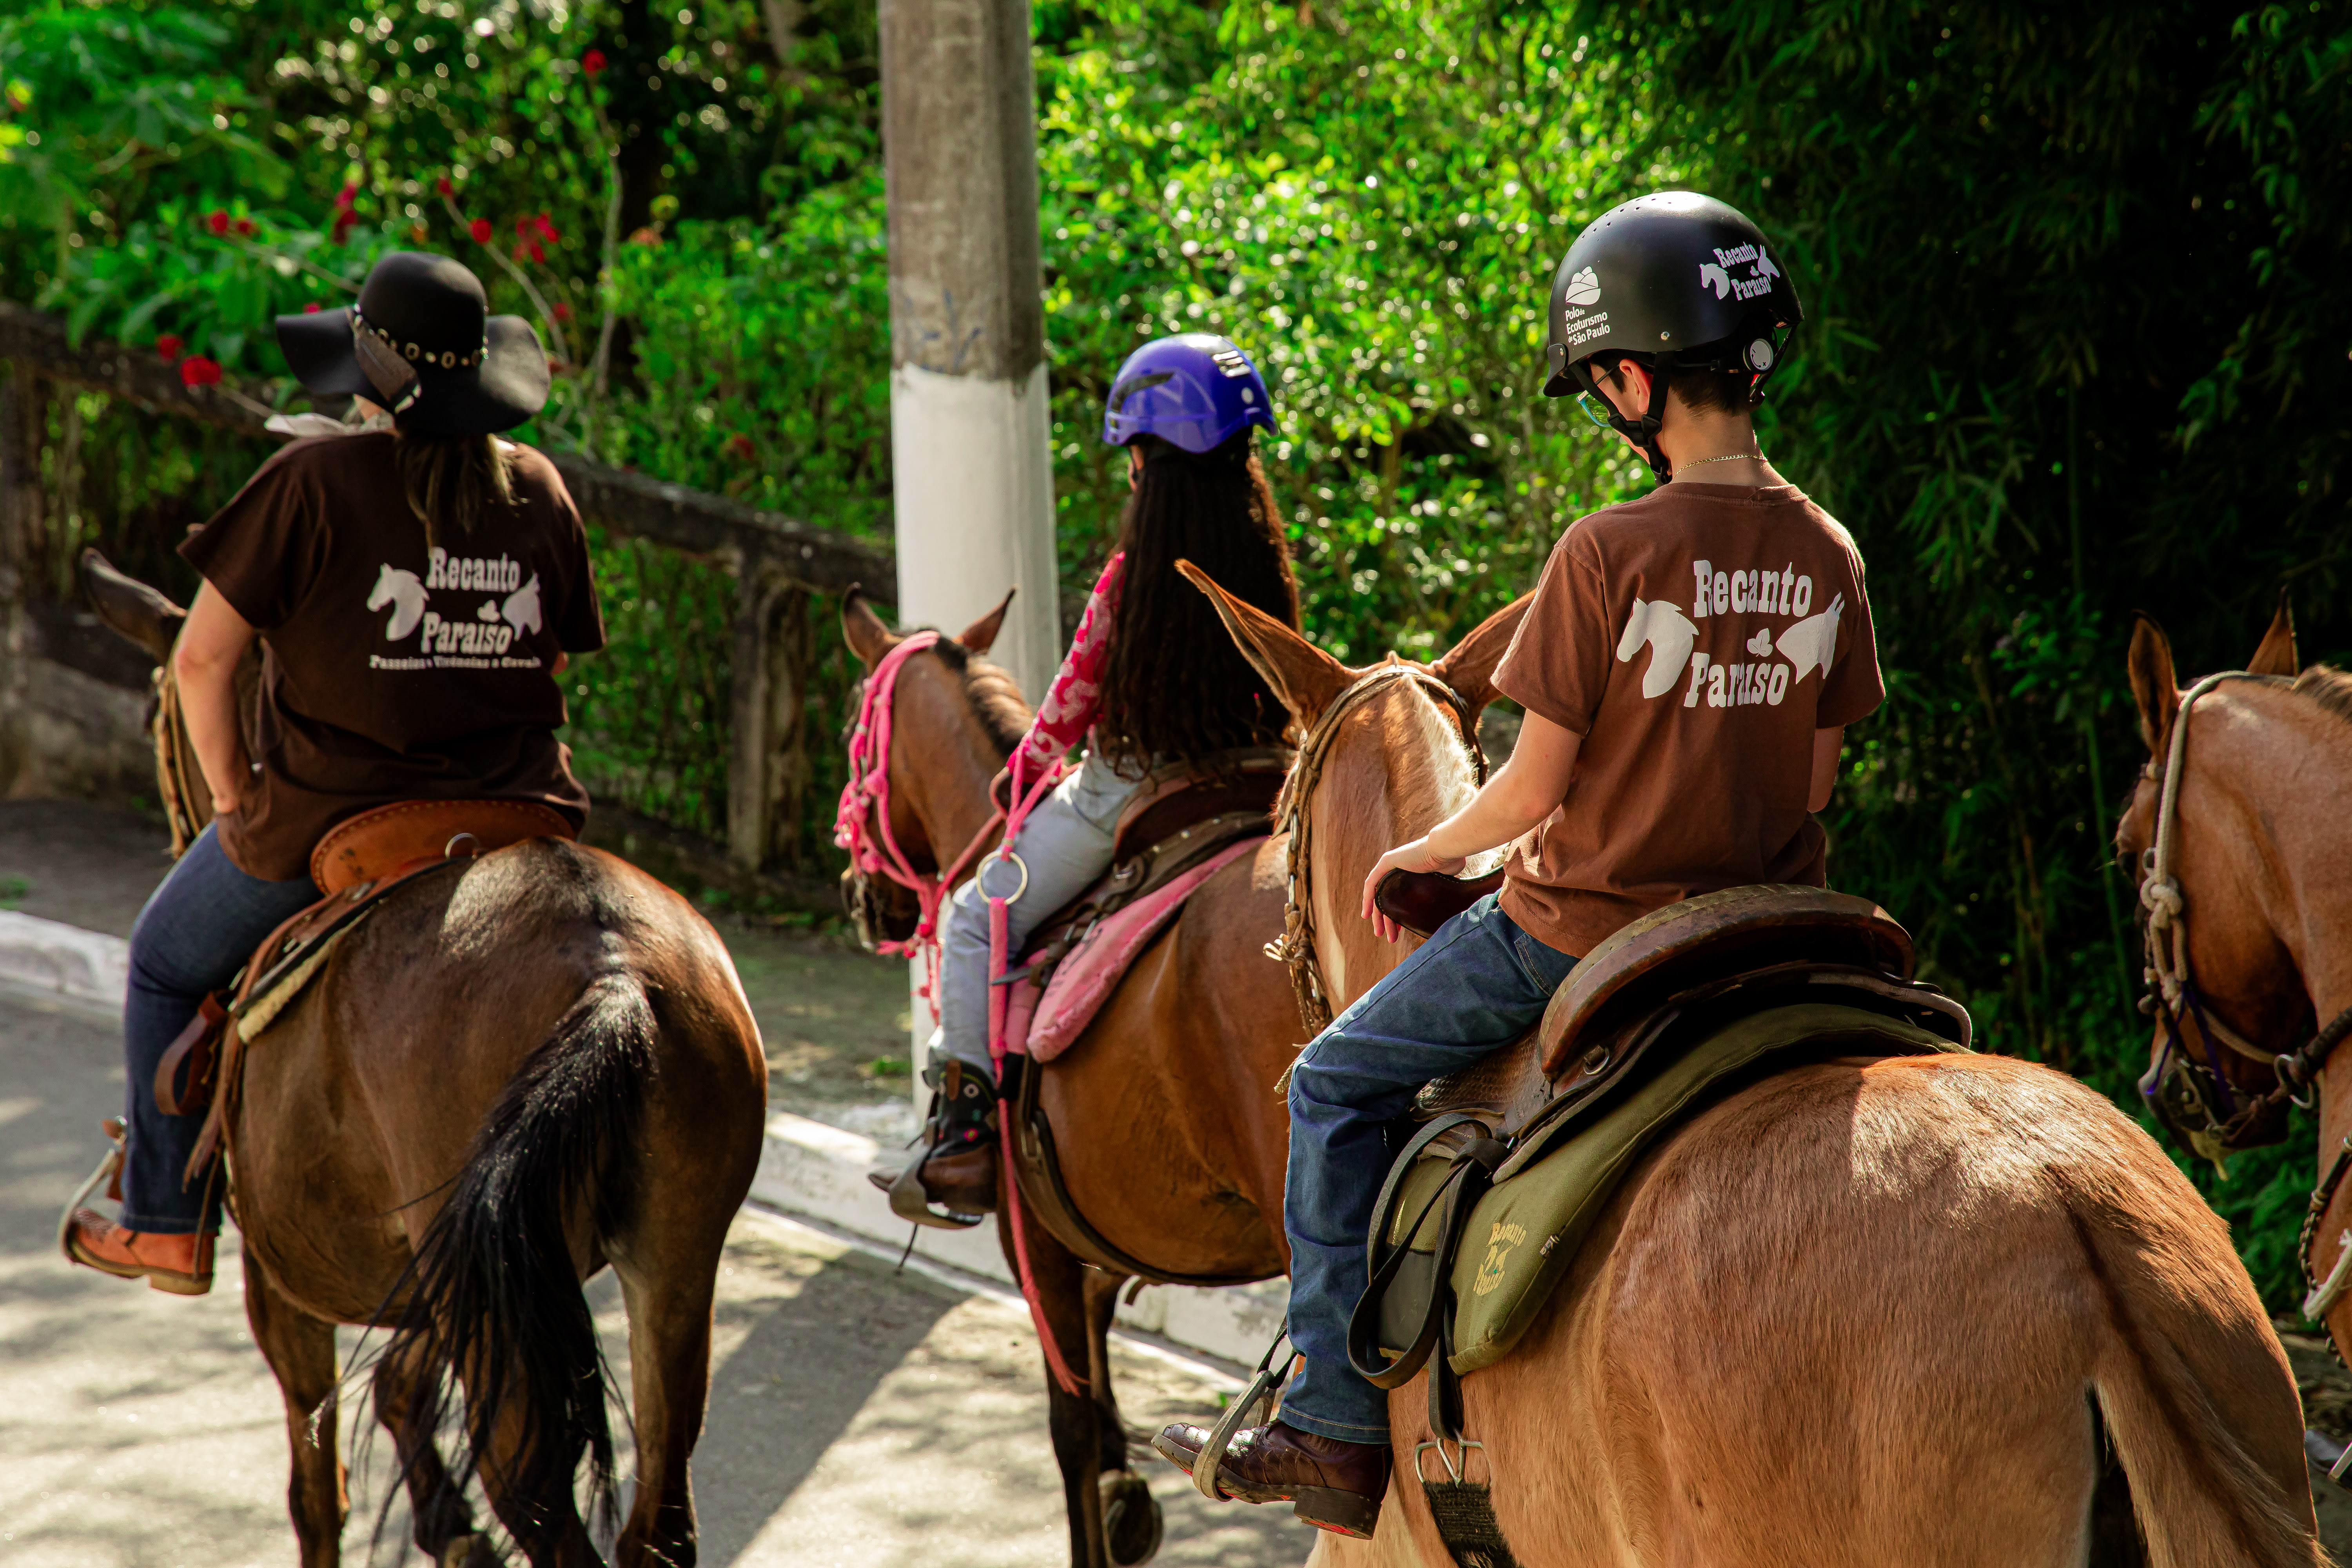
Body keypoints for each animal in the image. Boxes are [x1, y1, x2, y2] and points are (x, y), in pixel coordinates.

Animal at [78, 555, 762, 1568]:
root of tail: (614, 975)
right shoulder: (462, 1262)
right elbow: (400, 1383)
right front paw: (449, 1524)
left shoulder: (284, 1284)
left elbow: (316, 1488)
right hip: (668, 1270)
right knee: (660, 1520)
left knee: (544, 1508)